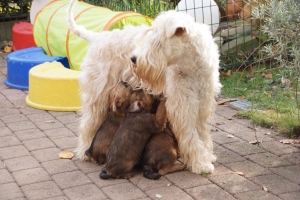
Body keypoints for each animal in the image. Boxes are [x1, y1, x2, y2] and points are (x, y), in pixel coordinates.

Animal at [69, 0, 221, 173]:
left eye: (158, 42)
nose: (133, 59)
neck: (192, 66)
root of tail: (97, 37)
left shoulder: (202, 103)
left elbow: (201, 131)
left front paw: (207, 156)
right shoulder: (182, 106)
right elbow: (191, 135)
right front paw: (200, 163)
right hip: (97, 95)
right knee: (88, 124)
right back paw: (85, 151)